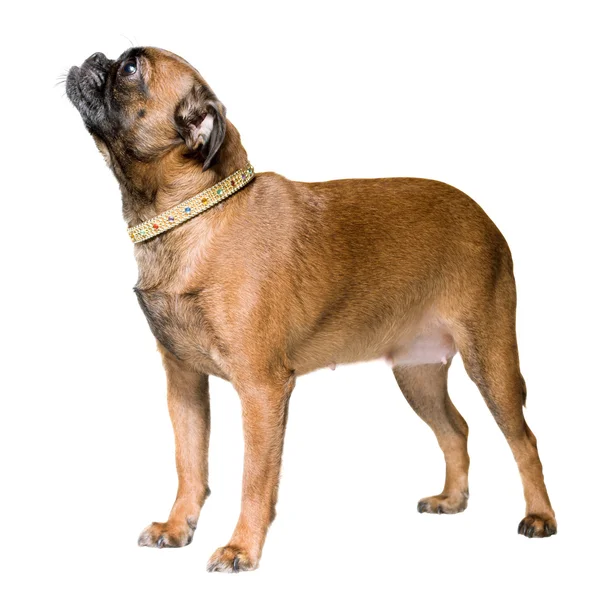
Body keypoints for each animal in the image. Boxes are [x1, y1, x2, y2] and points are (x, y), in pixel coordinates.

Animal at [67, 45, 556, 572]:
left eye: (130, 68)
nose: (94, 57)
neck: (196, 216)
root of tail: (486, 221)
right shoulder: (185, 384)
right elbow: (190, 464)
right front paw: (178, 526)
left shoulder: (261, 390)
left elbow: (255, 478)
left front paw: (242, 547)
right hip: (417, 376)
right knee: (456, 429)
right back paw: (452, 498)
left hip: (490, 361)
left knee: (523, 440)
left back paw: (540, 517)